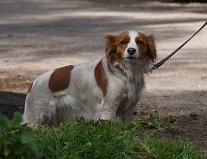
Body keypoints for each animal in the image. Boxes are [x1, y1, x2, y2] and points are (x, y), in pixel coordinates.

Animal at [23, 30, 156, 126]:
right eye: (123, 42)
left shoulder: (128, 108)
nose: (131, 50)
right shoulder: (108, 106)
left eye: (140, 42)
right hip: (35, 115)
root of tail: (34, 82)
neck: (126, 73)